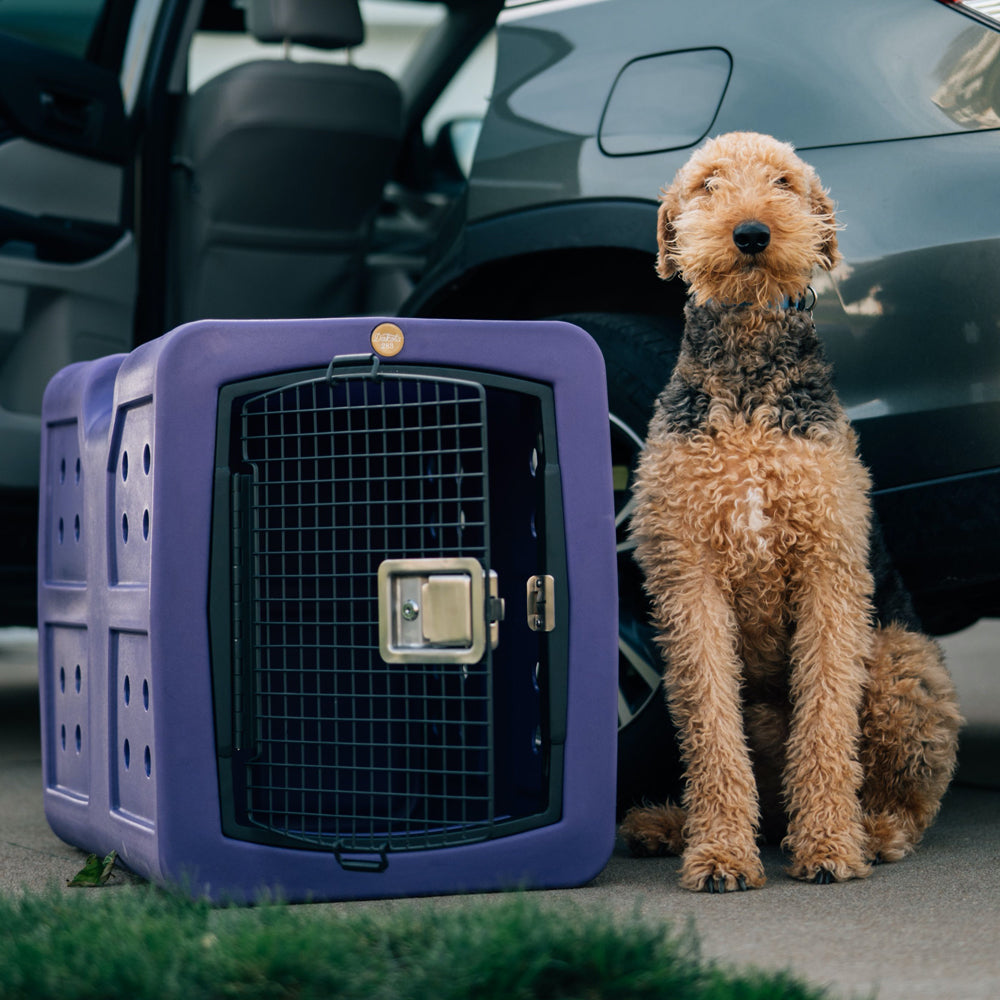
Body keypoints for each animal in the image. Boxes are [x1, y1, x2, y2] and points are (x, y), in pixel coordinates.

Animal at [624, 131, 960, 892]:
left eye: (784, 181)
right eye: (708, 182)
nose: (751, 233)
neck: (749, 372)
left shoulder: (828, 573)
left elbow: (827, 723)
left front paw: (829, 847)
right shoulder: (690, 582)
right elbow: (712, 733)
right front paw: (719, 856)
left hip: (898, 662)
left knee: (908, 796)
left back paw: (869, 831)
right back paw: (667, 825)